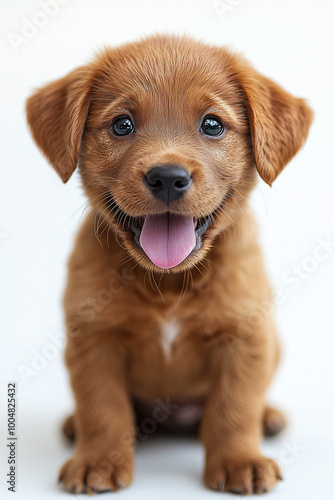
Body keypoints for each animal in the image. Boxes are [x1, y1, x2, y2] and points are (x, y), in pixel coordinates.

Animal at [26, 36, 314, 496]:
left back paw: (268, 417)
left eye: (212, 125)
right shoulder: (93, 337)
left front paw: (240, 461)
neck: (170, 282)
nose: (167, 177)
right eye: (122, 125)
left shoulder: (245, 335)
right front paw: (98, 461)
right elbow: (101, 407)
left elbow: (235, 406)